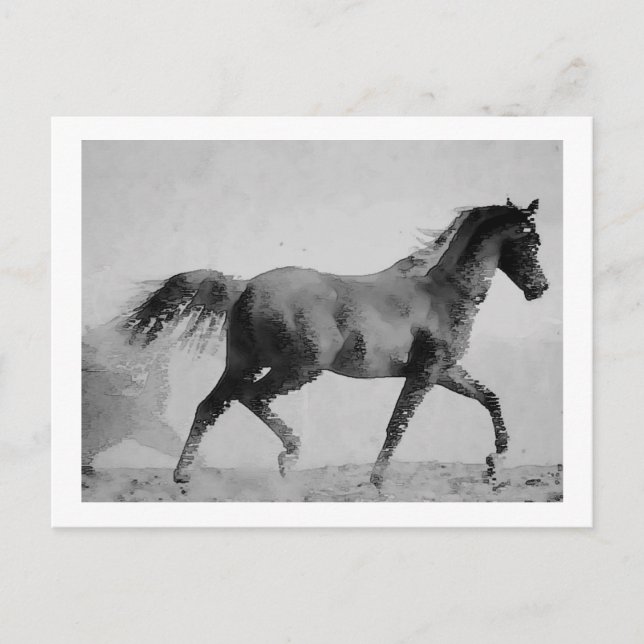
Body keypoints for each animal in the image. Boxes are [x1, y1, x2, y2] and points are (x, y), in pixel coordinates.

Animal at [126, 199, 547, 488]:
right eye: (531, 242)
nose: (539, 288)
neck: (442, 295)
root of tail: (245, 286)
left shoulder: (445, 371)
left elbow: (489, 398)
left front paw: (495, 464)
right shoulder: (425, 372)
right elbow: (398, 423)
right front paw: (376, 481)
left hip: (245, 362)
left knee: (211, 406)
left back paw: (183, 475)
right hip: (300, 366)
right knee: (250, 397)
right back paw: (288, 457)